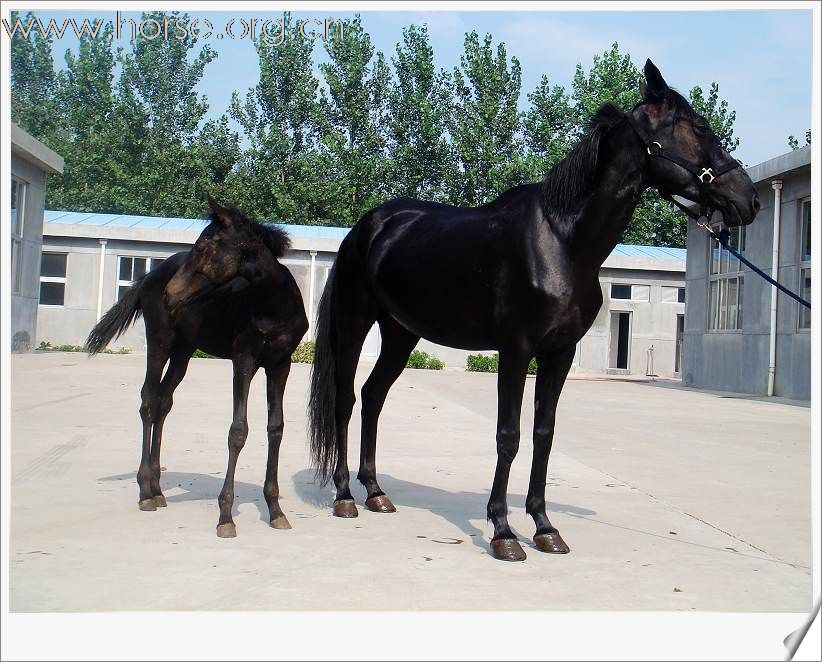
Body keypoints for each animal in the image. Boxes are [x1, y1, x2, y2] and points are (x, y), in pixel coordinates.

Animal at [87, 197, 308, 540]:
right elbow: (238, 431)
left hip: (183, 351)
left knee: (163, 401)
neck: (273, 305)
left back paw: (157, 489)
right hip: (160, 341)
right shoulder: (243, 360)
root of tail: (149, 277)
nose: (170, 294)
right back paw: (145, 493)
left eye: (205, 246)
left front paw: (275, 511)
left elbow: (276, 429)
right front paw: (226, 516)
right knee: (148, 401)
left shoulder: (280, 364)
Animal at [308, 62, 760, 564]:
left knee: (373, 397)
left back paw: (376, 492)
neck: (563, 242)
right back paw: (345, 496)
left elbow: (543, 433)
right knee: (346, 400)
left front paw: (544, 527)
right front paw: (503, 532)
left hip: (401, 333)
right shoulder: (516, 350)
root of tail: (367, 227)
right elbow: (508, 434)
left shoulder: (559, 353)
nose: (749, 200)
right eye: (699, 128)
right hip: (354, 323)